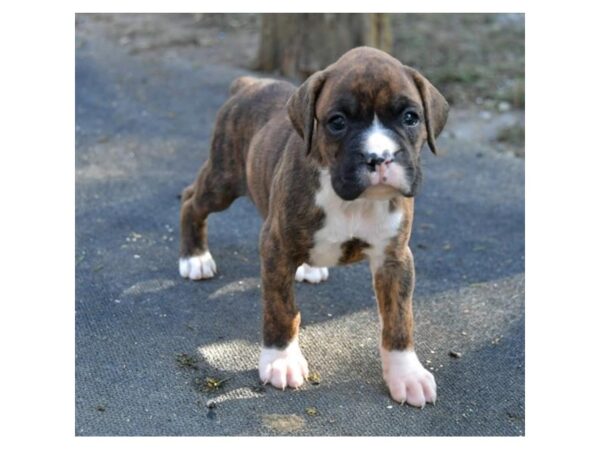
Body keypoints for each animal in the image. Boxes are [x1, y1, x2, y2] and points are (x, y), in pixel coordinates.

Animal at [179, 46, 450, 408]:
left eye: (410, 117)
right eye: (337, 122)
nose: (379, 157)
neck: (354, 201)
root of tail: (250, 84)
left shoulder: (394, 258)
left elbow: (399, 319)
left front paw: (406, 374)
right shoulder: (276, 247)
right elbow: (280, 308)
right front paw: (280, 360)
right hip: (222, 180)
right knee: (191, 200)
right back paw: (194, 257)